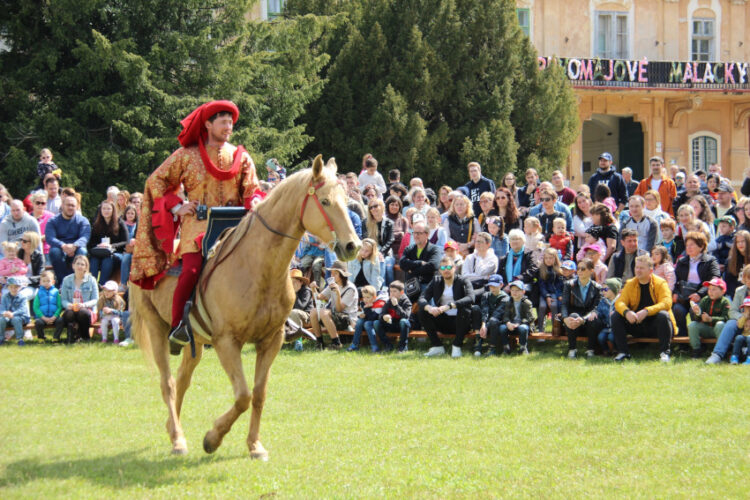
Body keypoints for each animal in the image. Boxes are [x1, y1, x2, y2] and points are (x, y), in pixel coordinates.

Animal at [131, 154, 362, 458]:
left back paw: (174, 430)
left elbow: (258, 394)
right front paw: (212, 438)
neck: (257, 266)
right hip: (157, 327)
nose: (352, 246)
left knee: (182, 380)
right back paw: (178, 439)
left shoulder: (271, 340)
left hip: (196, 343)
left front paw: (254, 445)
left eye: (347, 201)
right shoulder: (227, 342)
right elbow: (243, 396)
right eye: (324, 201)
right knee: (168, 383)